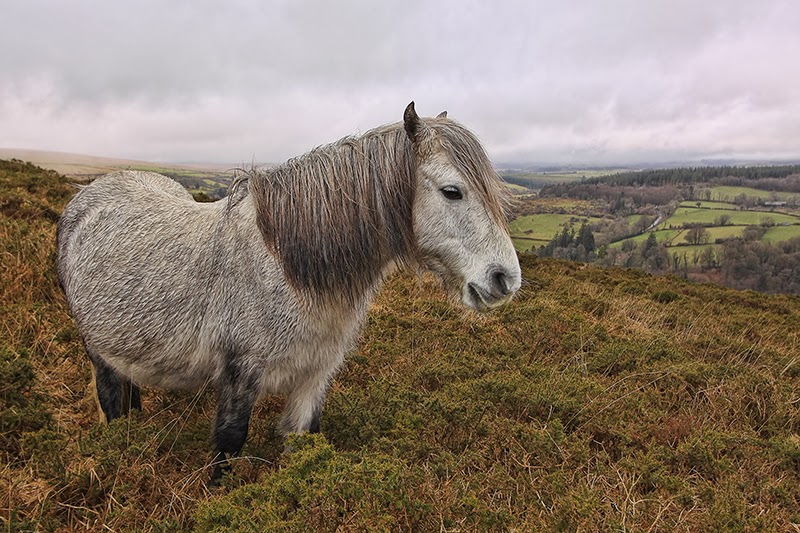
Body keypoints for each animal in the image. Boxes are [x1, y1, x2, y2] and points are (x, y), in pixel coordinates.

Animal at [54, 102, 520, 480]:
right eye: (452, 191)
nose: (505, 279)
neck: (292, 270)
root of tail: (87, 195)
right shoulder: (240, 373)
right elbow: (228, 444)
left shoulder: (314, 377)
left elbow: (303, 444)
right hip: (99, 353)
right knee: (111, 400)